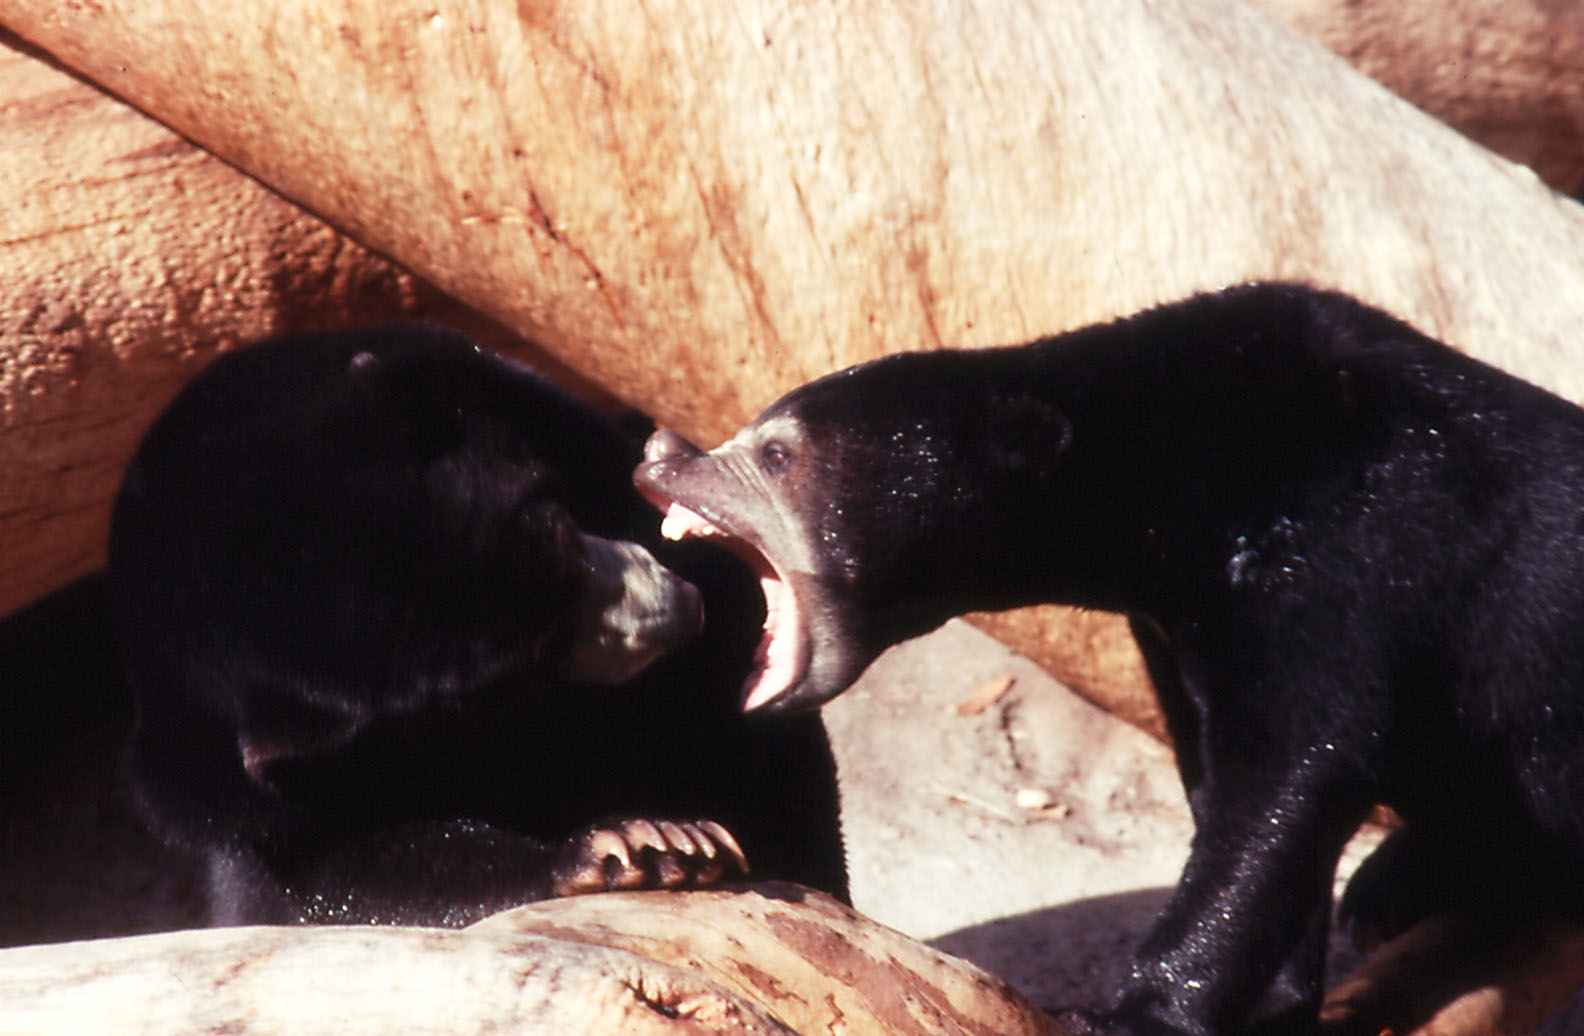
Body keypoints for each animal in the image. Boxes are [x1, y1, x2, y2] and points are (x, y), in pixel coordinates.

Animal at [108, 323, 846, 927]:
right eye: (512, 683)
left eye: (553, 517)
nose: (672, 609)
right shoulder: (226, 784)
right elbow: (333, 871)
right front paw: (635, 844)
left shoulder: (533, 411)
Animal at [634, 282, 1584, 1036]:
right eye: (754, 430)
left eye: (776, 453)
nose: (661, 459)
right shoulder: (1177, 625)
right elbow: (1232, 783)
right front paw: (1276, 1003)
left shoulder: (1348, 555)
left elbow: (1293, 775)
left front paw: (1135, 1013)